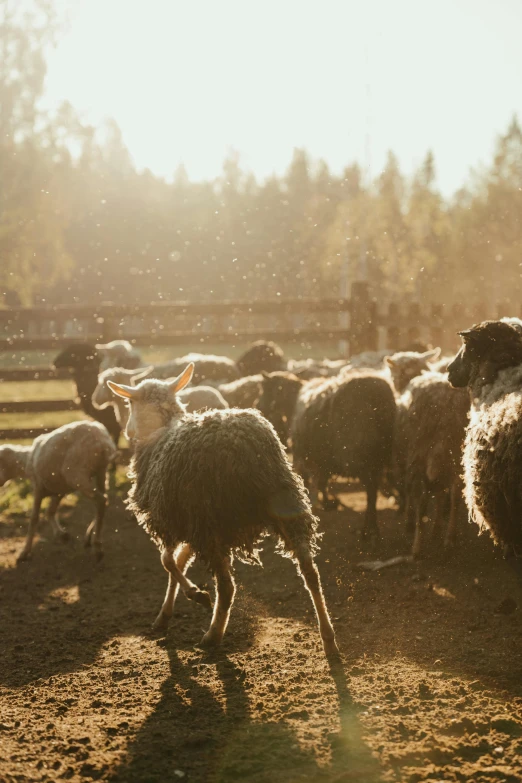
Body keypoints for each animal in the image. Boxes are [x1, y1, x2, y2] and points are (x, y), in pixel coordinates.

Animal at [0, 422, 116, 564]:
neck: (26, 461)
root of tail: (102, 442)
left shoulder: (38, 488)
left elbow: (34, 519)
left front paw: (24, 551)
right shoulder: (59, 490)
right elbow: (50, 511)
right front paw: (62, 535)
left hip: (76, 475)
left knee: (101, 501)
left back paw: (97, 547)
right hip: (100, 473)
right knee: (104, 501)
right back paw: (90, 537)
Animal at [398, 370, 468, 556]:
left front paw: (409, 522)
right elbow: (441, 494)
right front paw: (437, 529)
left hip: (420, 452)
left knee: (421, 499)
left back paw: (417, 548)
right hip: (454, 453)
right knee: (454, 495)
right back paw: (449, 537)